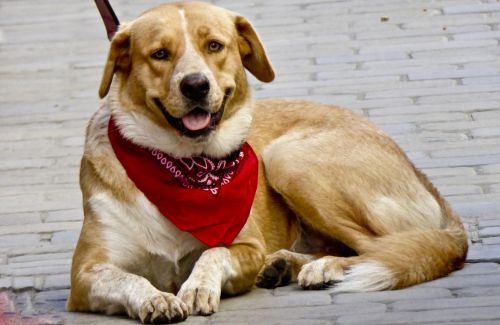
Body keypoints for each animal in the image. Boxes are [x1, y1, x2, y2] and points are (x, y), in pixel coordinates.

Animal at [66, 1, 468, 322]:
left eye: (215, 46)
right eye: (160, 54)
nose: (195, 85)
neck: (188, 169)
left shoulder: (247, 248)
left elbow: (213, 253)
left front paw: (197, 286)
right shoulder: (85, 275)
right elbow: (128, 277)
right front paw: (156, 298)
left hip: (287, 159)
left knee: (382, 249)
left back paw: (323, 268)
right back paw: (285, 265)